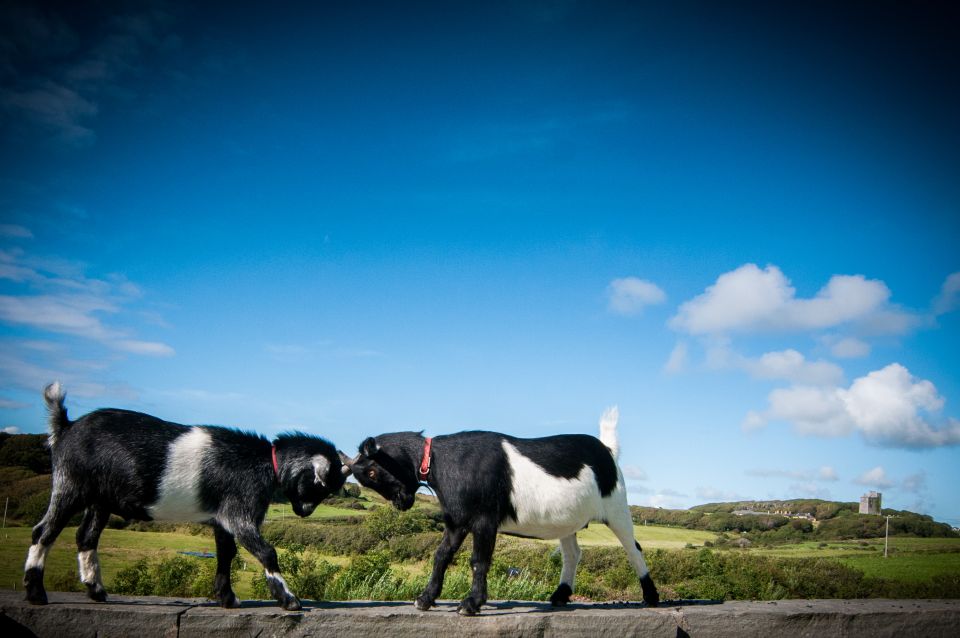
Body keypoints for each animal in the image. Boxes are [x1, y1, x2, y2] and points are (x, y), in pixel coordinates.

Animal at [23, 382, 348, 612]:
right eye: (322, 486)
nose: (305, 513)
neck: (266, 462)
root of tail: (65, 427)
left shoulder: (221, 520)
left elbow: (226, 555)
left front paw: (227, 599)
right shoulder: (239, 513)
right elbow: (267, 552)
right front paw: (289, 600)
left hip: (100, 500)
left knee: (86, 537)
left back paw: (97, 591)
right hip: (71, 485)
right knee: (44, 531)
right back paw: (36, 593)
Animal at [340, 408, 660, 616]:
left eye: (372, 471)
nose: (402, 503)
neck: (441, 461)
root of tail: (607, 449)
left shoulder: (484, 519)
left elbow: (478, 560)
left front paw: (470, 604)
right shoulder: (456, 519)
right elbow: (441, 556)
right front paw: (425, 599)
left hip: (617, 507)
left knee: (633, 548)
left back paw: (651, 596)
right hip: (568, 521)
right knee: (572, 553)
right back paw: (559, 596)